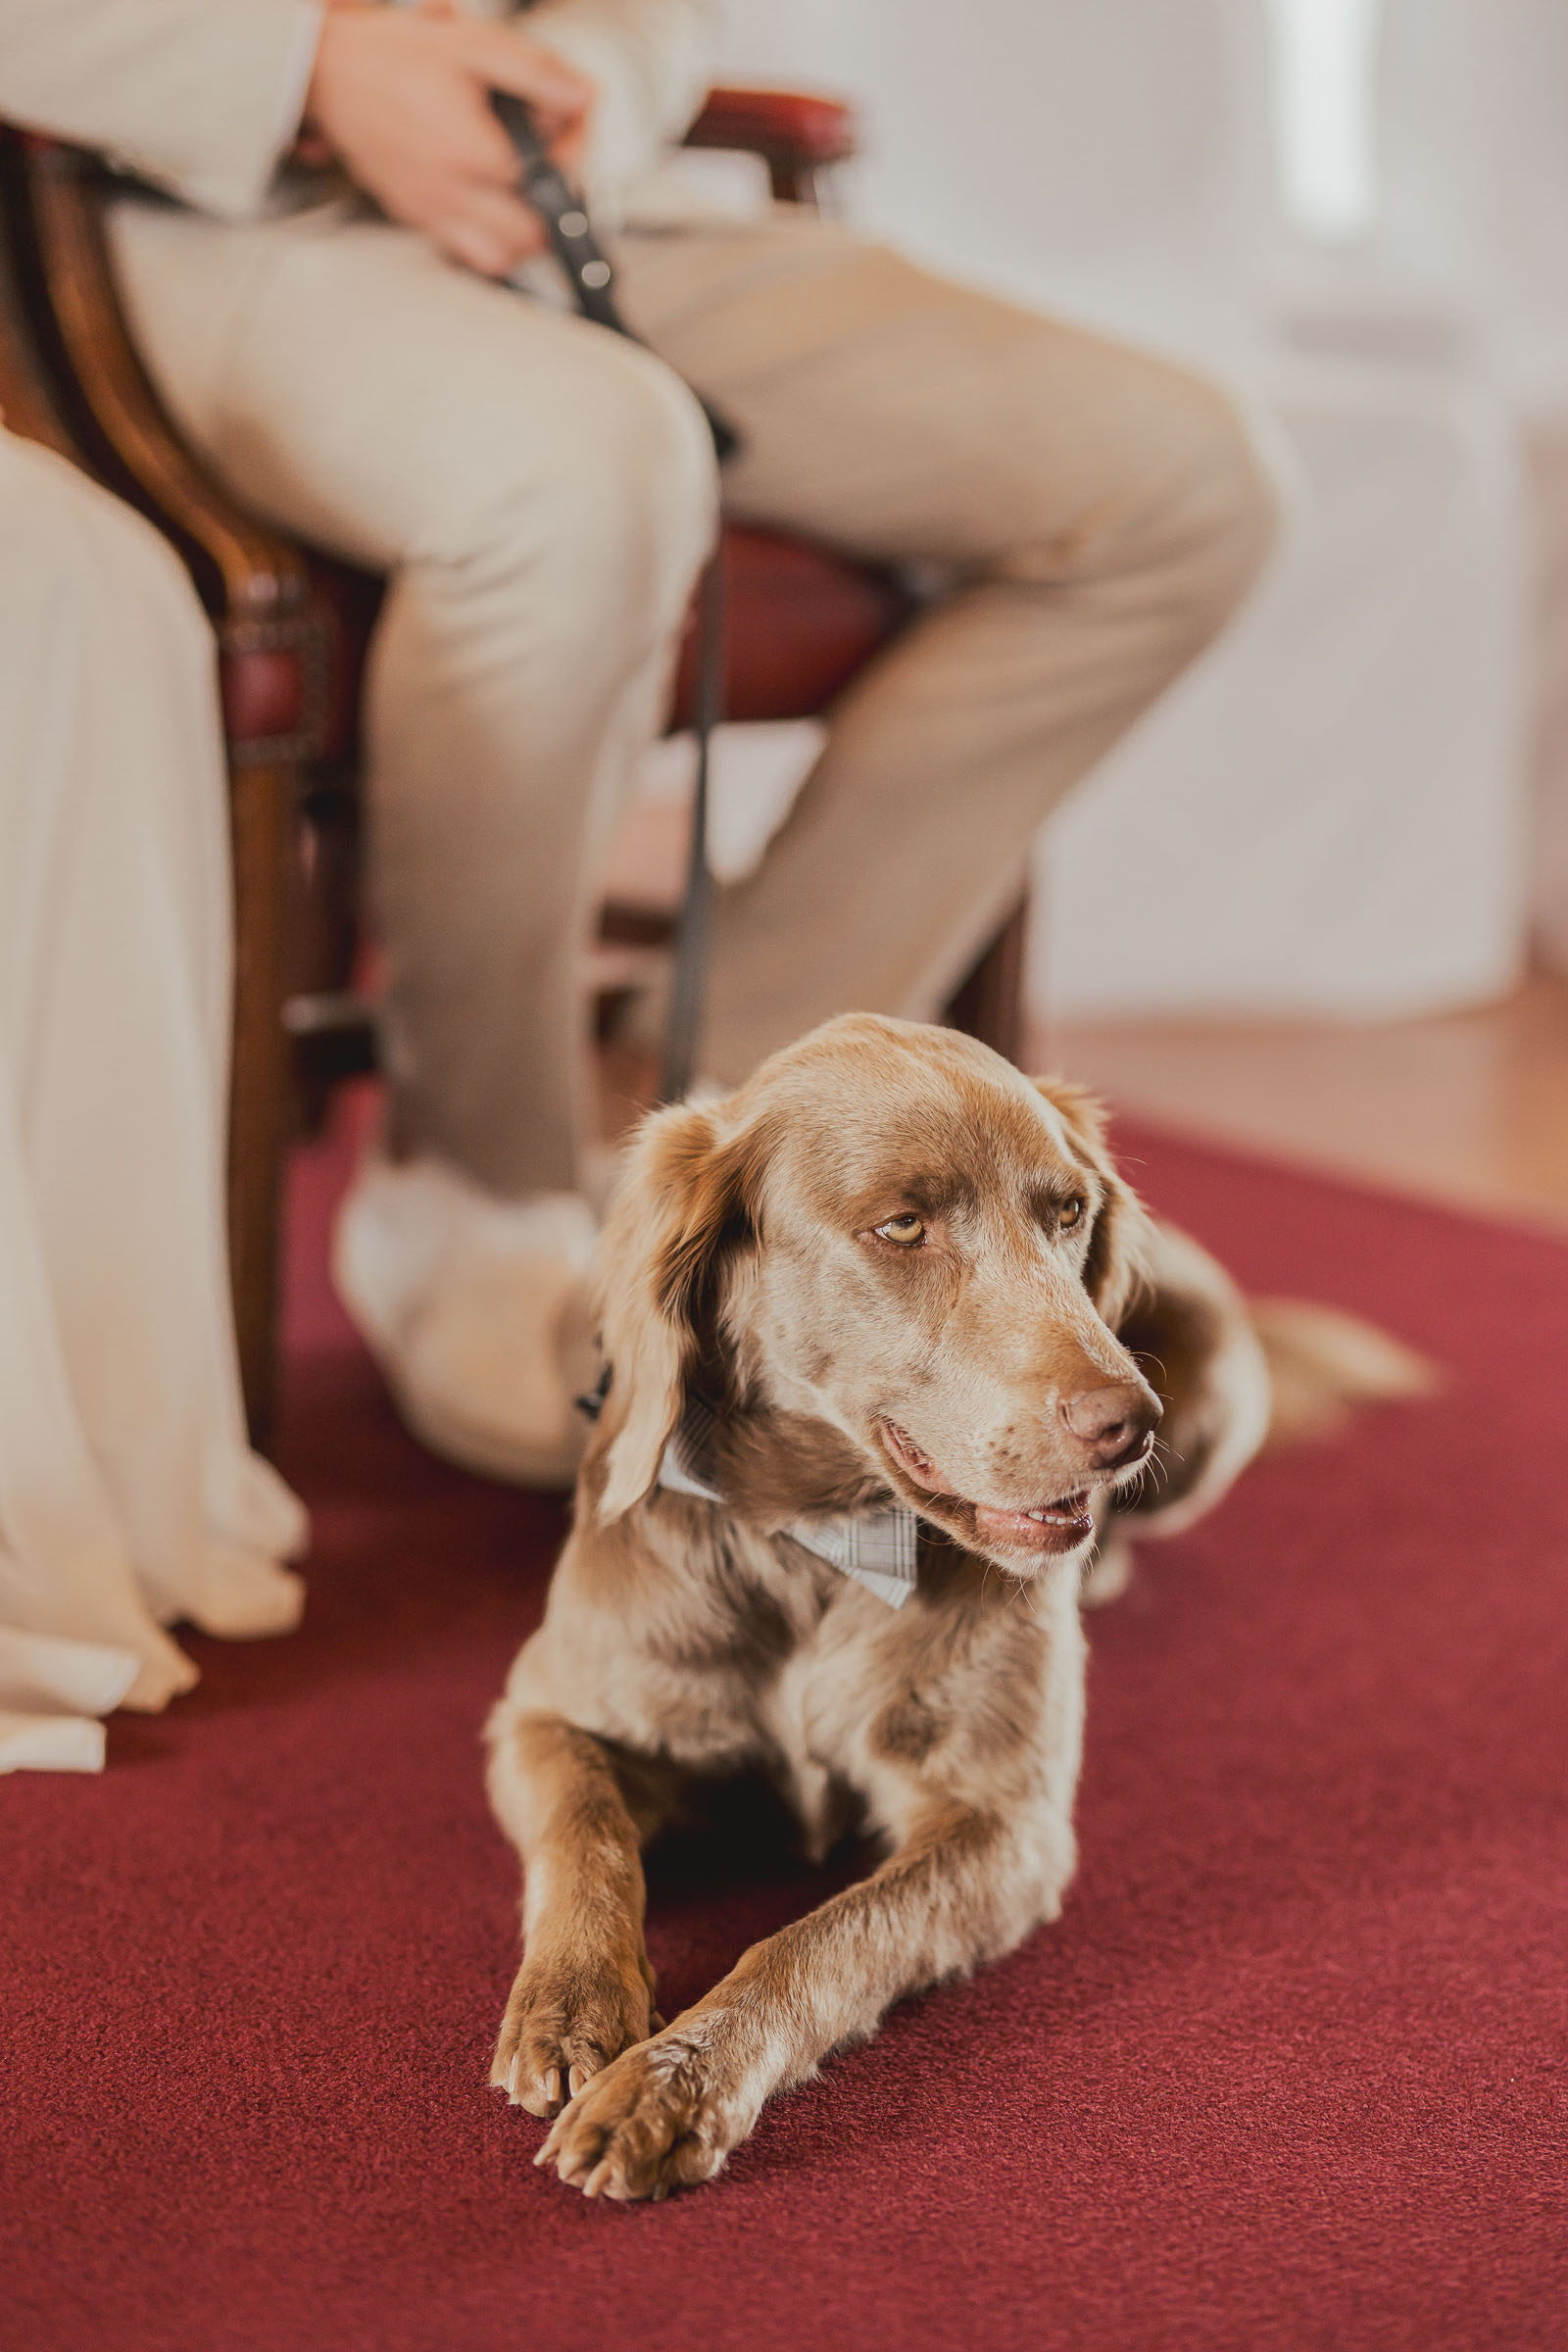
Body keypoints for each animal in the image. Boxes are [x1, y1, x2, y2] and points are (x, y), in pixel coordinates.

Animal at [481, 1015, 1419, 2201]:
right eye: (903, 1226)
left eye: (1067, 1213)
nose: (1129, 1425)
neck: (820, 1547)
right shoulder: (540, 1711)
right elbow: (586, 1834)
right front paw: (569, 2011)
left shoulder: (1002, 1824)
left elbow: (819, 1939)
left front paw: (671, 2082)